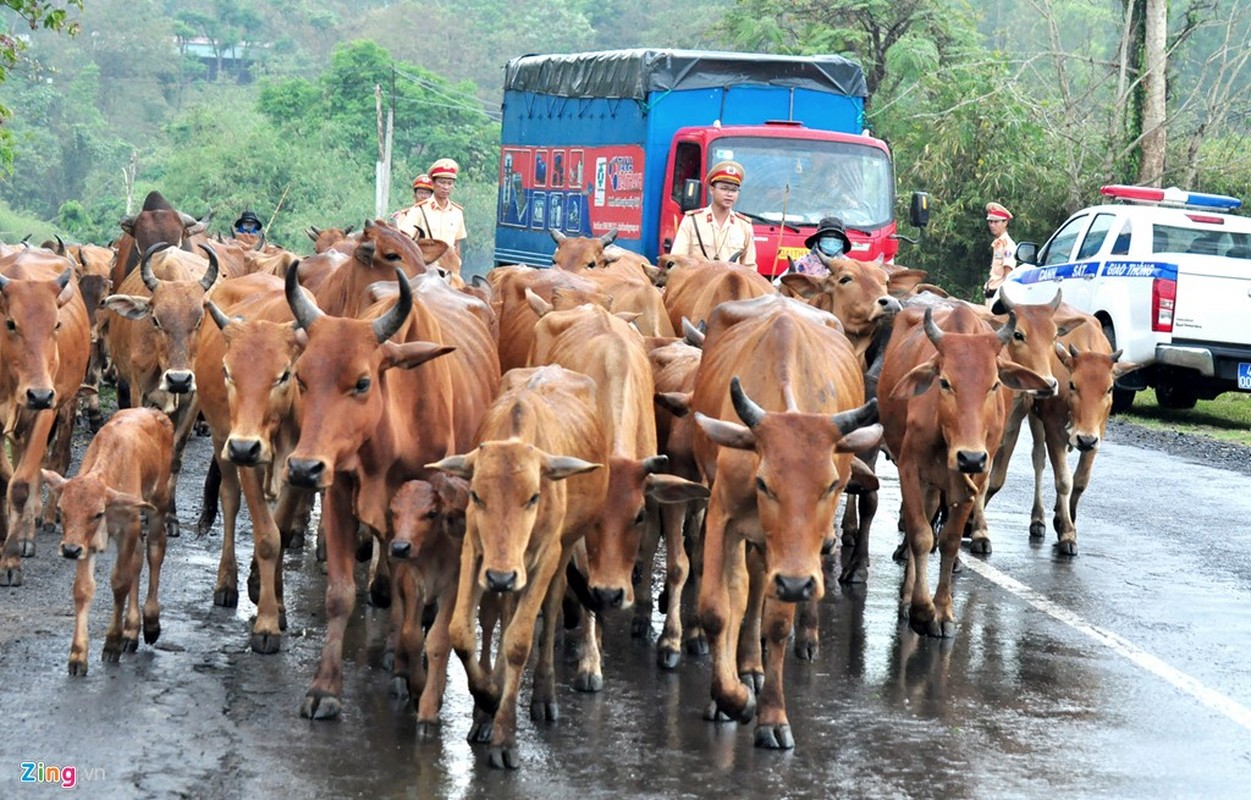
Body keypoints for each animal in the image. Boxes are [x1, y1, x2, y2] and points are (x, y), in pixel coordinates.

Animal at [0, 247, 91, 585]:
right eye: (11, 323)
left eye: (56, 324)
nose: (38, 394)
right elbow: (6, 477)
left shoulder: (46, 411)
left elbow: (21, 484)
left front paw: (10, 559)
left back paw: (27, 536)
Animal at [40, 405, 172, 676]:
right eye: (61, 509)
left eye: (97, 513)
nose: (68, 550)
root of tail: (156, 413)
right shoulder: (85, 542)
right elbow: (83, 589)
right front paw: (78, 655)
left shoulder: (128, 526)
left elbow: (120, 581)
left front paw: (112, 642)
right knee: (138, 560)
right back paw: (131, 631)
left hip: (159, 504)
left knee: (155, 551)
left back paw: (150, 623)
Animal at [425, 365, 610, 771]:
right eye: (476, 495)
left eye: (534, 496)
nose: (501, 575)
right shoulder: (475, 552)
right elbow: (461, 632)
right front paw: (487, 698)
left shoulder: (545, 557)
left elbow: (519, 642)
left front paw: (504, 735)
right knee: (504, 612)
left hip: (563, 550)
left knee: (550, 610)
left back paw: (543, 695)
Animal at [685, 294, 880, 751]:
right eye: (763, 482)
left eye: (831, 485)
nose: (794, 583)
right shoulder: (723, 514)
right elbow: (718, 608)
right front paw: (731, 698)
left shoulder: (795, 560)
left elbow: (776, 624)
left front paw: (772, 716)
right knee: (746, 586)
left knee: (762, 589)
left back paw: (769, 657)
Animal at [880, 305, 1055, 638]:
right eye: (945, 382)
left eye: (995, 384)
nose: (970, 457)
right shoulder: (909, 468)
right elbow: (920, 534)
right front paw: (921, 610)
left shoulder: (976, 477)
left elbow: (948, 539)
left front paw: (943, 612)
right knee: (919, 527)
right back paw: (908, 597)